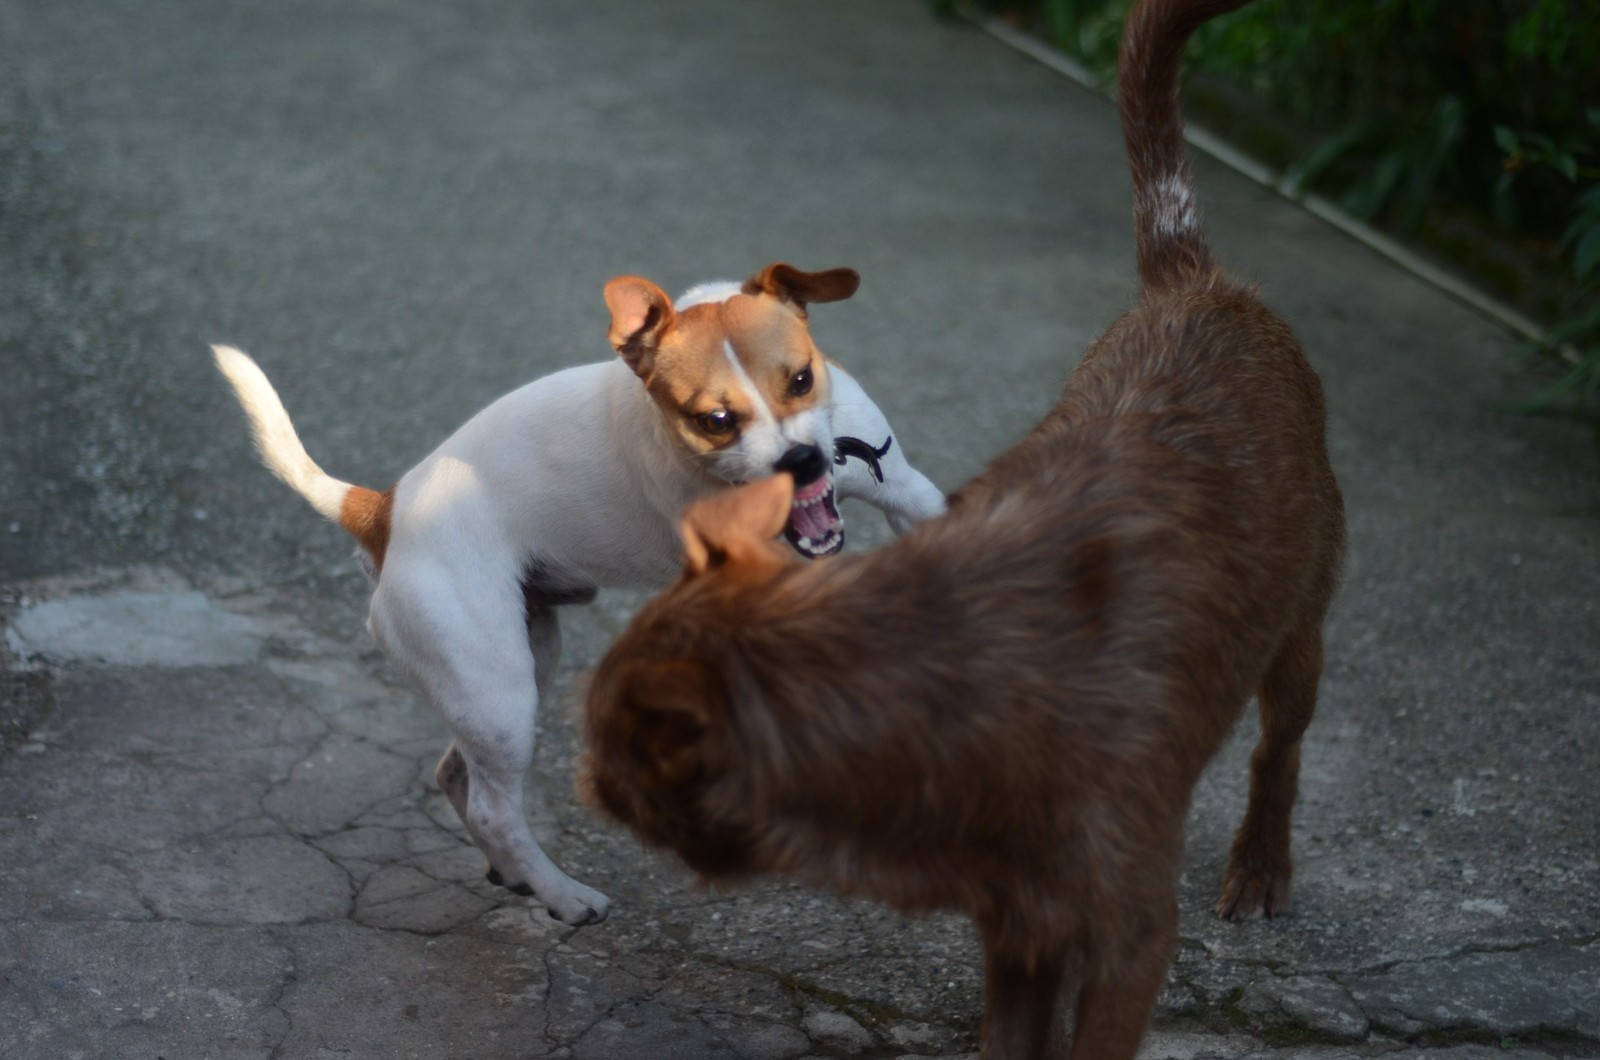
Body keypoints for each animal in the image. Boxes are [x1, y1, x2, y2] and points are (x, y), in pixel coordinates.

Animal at [208, 260, 940, 928]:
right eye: (714, 419)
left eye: (800, 380)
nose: (803, 462)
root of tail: (384, 510)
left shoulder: (908, 496)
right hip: (499, 697)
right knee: (492, 808)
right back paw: (564, 896)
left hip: (521, 665)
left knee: (456, 774)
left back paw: (516, 875)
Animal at [582, 2, 1344, 1056]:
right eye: (716, 419)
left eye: (611, 733)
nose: (579, 776)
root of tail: (1197, 284)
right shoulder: (1019, 920)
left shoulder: (1126, 934)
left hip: (1302, 622)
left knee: (1282, 747)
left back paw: (1263, 864)